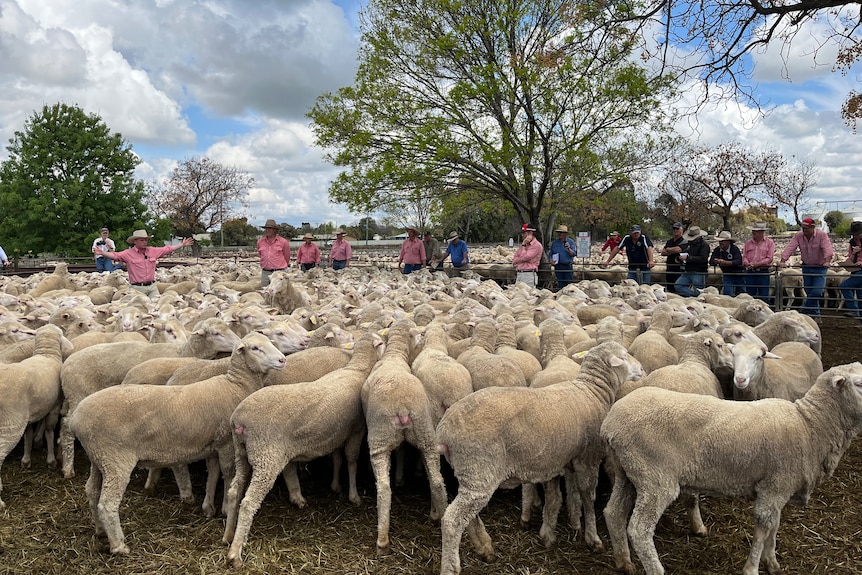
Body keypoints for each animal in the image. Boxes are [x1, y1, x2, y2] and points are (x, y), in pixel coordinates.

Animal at [71, 330, 286, 556]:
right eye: (255, 348)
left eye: (270, 342)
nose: (282, 359)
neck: (235, 385)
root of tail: (76, 417)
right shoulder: (227, 443)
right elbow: (228, 474)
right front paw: (226, 508)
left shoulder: (212, 442)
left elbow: (213, 472)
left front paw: (208, 507)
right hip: (116, 459)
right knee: (107, 503)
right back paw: (119, 545)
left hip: (99, 457)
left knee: (91, 490)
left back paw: (100, 531)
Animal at [223, 330, 388, 568]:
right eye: (382, 343)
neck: (357, 369)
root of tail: (239, 420)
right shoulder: (356, 430)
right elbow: (351, 460)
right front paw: (354, 496)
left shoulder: (335, 432)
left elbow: (336, 458)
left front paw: (335, 486)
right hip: (266, 457)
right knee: (248, 503)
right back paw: (235, 553)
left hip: (243, 453)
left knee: (234, 490)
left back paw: (228, 535)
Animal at [442, 342, 644, 575]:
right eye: (624, 356)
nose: (642, 369)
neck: (592, 392)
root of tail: (444, 431)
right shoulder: (588, 459)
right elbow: (587, 497)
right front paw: (593, 538)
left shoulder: (554, 461)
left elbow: (554, 497)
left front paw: (548, 534)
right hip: (479, 469)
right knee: (451, 520)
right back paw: (451, 566)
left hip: (471, 473)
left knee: (469, 515)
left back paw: (484, 547)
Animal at [604, 364, 862, 575]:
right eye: (859, 383)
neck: (810, 425)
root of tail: (609, 425)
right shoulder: (773, 487)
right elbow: (763, 528)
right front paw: (752, 568)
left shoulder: (778, 488)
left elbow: (774, 526)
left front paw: (772, 562)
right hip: (654, 477)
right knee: (639, 529)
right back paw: (655, 569)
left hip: (628, 472)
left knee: (613, 512)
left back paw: (623, 562)